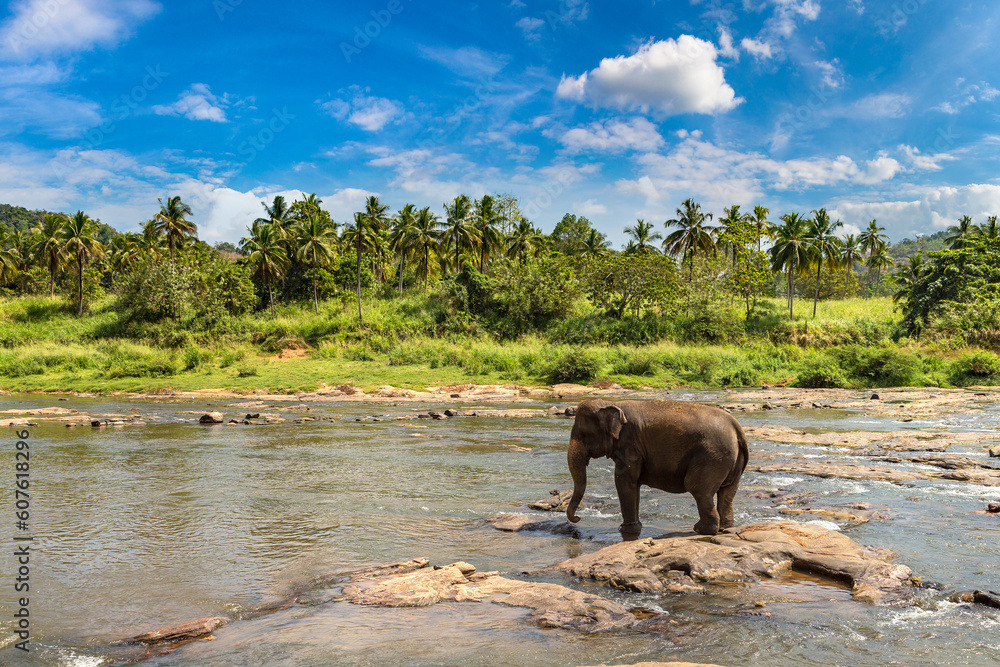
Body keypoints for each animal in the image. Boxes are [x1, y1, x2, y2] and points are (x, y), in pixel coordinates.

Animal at [566, 398, 749, 540]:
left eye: (583, 434)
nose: (578, 518)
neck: (613, 404)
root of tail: (737, 428)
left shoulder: (629, 444)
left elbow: (624, 480)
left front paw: (626, 530)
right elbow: (634, 484)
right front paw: (634, 528)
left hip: (712, 456)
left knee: (698, 488)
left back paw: (700, 529)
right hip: (731, 461)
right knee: (727, 492)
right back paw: (725, 529)